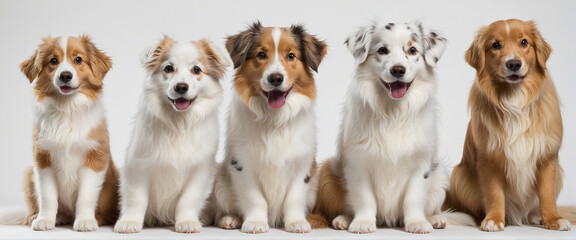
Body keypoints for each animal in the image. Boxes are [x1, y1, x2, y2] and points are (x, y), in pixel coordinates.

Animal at [17, 35, 118, 231]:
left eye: (78, 59)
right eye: (53, 61)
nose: (65, 75)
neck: (67, 108)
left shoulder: (94, 157)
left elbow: (86, 196)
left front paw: (85, 221)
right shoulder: (43, 158)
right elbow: (47, 196)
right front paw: (44, 220)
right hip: (28, 174)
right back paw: (42, 217)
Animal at [112, 36, 230, 233]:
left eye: (196, 70)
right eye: (168, 68)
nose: (181, 87)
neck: (179, 123)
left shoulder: (200, 170)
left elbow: (188, 199)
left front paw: (187, 222)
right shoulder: (137, 166)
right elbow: (136, 198)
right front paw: (130, 222)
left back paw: (227, 219)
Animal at [213, 21, 328, 233]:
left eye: (291, 56)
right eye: (261, 54)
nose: (276, 78)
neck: (274, 118)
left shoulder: (301, 166)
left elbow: (294, 198)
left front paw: (296, 223)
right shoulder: (243, 164)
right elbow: (254, 198)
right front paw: (256, 223)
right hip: (221, 183)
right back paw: (229, 219)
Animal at [308, 21, 452, 233]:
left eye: (412, 50)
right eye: (383, 50)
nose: (398, 70)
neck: (393, 112)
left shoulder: (421, 162)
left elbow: (414, 198)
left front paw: (417, 223)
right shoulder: (359, 161)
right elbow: (365, 198)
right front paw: (363, 223)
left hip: (440, 175)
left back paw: (435, 219)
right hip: (328, 170)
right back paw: (343, 219)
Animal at [446, 19, 576, 232]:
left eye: (524, 42)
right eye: (495, 45)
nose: (513, 64)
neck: (514, 99)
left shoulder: (548, 157)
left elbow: (547, 193)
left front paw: (553, 219)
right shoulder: (488, 157)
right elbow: (494, 193)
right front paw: (494, 219)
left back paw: (537, 217)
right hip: (459, 175)